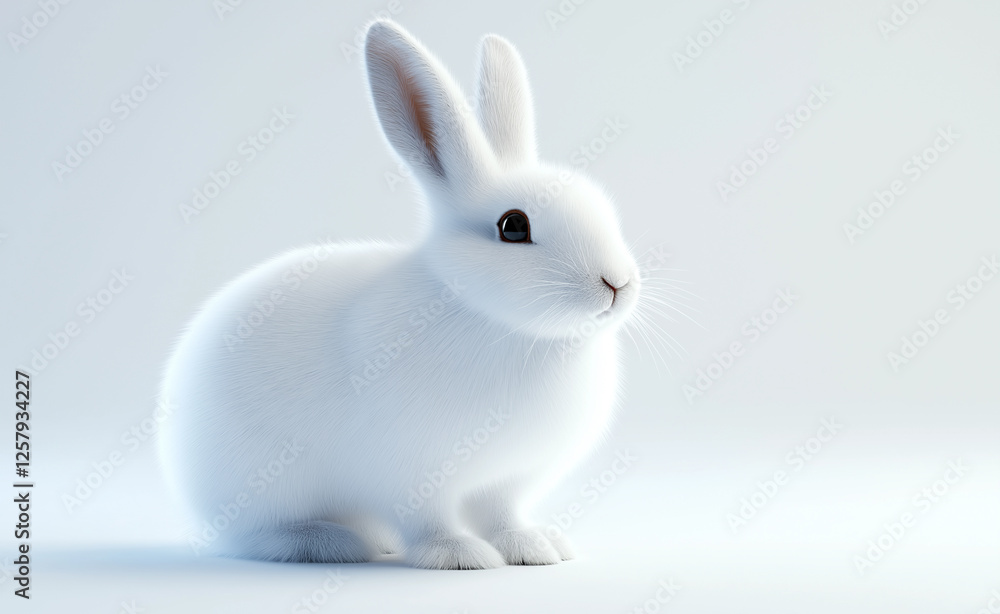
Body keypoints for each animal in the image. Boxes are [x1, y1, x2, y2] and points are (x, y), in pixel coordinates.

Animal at [158, 19, 641, 570]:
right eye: (513, 226)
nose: (617, 284)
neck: (505, 327)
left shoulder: (504, 480)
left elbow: (502, 515)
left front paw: (534, 547)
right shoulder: (412, 473)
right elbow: (429, 519)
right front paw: (459, 555)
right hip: (261, 482)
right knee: (256, 535)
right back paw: (333, 543)